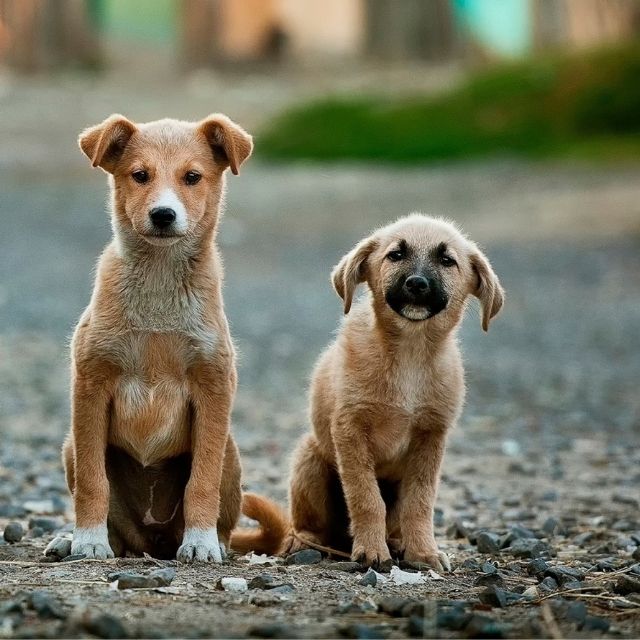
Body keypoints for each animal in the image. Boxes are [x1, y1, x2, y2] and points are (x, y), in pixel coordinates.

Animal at [55, 112, 284, 564]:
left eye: (192, 177)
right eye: (140, 175)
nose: (163, 214)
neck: (159, 285)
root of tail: (154, 541)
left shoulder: (213, 387)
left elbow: (202, 481)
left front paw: (200, 542)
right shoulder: (90, 384)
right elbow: (92, 480)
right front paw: (87, 539)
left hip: (231, 453)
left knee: (221, 511)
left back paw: (213, 541)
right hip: (71, 445)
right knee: (117, 527)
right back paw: (71, 540)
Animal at [286, 214, 504, 568]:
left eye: (447, 260)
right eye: (395, 255)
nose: (416, 283)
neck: (410, 354)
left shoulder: (431, 437)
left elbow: (419, 502)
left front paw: (424, 552)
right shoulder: (350, 430)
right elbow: (366, 497)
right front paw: (371, 551)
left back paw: (399, 542)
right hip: (310, 458)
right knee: (309, 524)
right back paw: (306, 542)